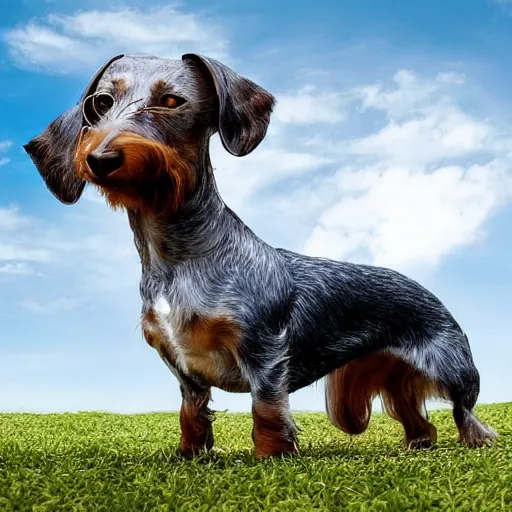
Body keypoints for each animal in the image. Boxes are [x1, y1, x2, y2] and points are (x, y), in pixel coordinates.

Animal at [23, 54, 496, 458]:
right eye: (100, 103)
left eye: (172, 101)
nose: (101, 158)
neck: (180, 260)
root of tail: (429, 293)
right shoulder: (182, 368)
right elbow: (191, 414)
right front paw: (191, 456)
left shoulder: (264, 352)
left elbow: (267, 409)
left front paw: (273, 457)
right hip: (394, 378)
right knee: (420, 421)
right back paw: (418, 444)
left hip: (454, 370)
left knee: (466, 414)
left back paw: (475, 441)